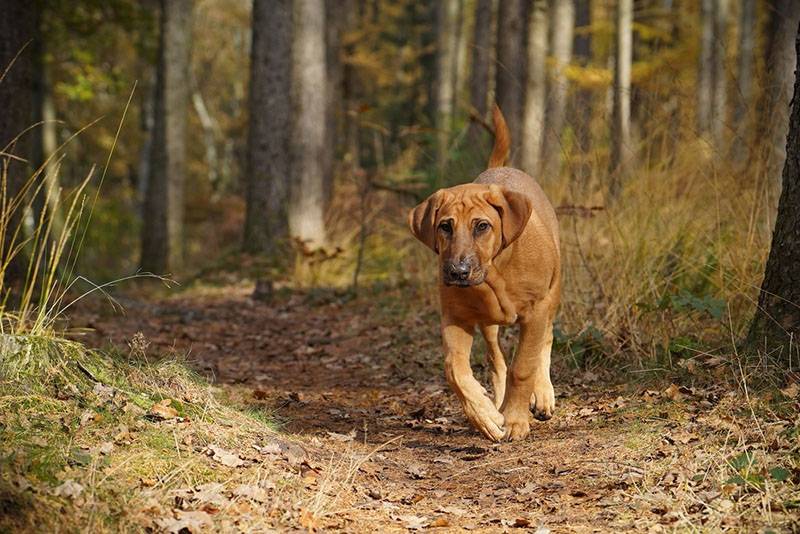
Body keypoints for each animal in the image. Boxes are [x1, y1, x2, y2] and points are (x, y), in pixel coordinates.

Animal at [410, 105, 560, 444]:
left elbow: (524, 365)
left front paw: (515, 419)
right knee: (496, 359)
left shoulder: (537, 310)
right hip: (488, 323)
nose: (457, 271)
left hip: (554, 293)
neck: (495, 273)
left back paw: (543, 395)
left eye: (482, 226)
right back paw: (497, 403)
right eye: (445, 226)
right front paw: (486, 416)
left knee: (545, 340)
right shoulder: (456, 316)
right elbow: (455, 369)